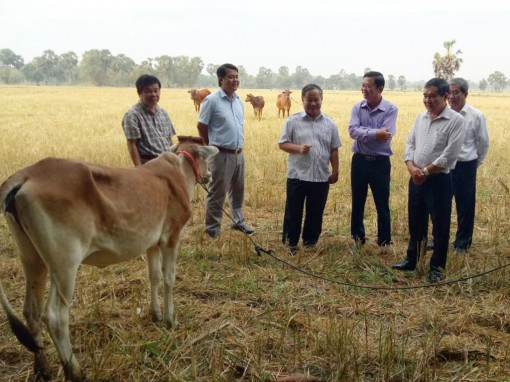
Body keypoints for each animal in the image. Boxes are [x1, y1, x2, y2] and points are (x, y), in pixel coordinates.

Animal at [0, 137, 217, 382]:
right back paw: (75, 371)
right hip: (65, 265)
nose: (209, 176)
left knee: (31, 311)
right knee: (55, 316)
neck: (179, 171)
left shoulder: (151, 244)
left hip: (32, 258)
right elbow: (169, 279)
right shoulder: (171, 237)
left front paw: (156, 314)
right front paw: (170, 320)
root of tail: (29, 173)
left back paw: (43, 369)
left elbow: (154, 277)